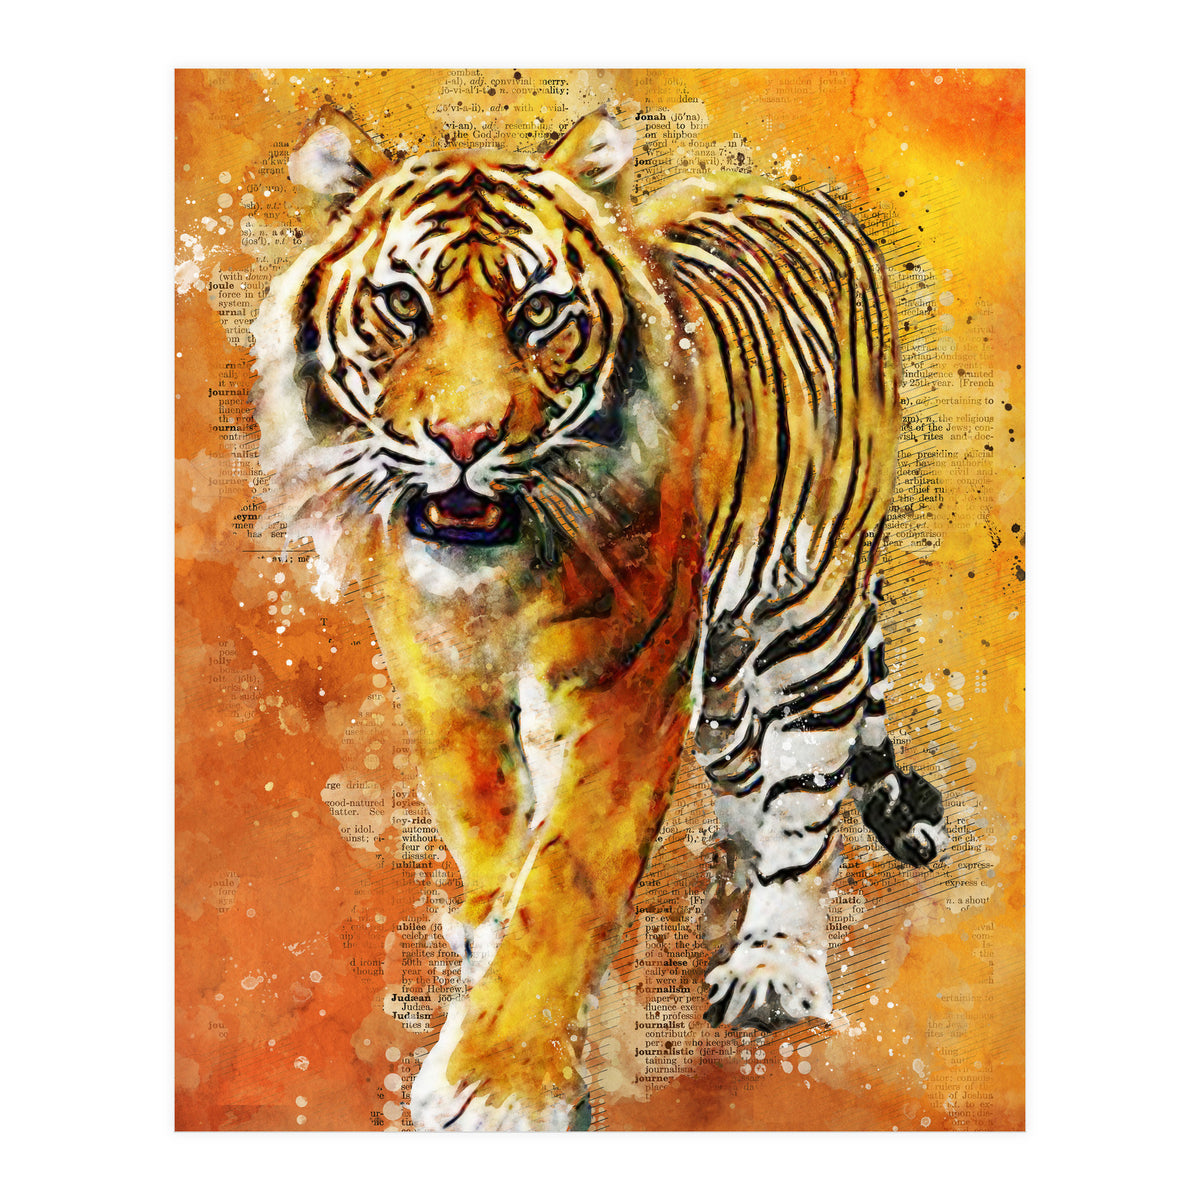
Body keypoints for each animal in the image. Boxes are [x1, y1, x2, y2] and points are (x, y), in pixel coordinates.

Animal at [249, 105, 948, 1132]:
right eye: (404, 305)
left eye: (539, 312)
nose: (464, 439)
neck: (493, 578)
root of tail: (800, 190)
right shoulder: (437, 667)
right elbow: (486, 817)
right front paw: (486, 932)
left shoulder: (626, 686)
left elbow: (569, 878)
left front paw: (500, 1083)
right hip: (725, 659)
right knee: (746, 764)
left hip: (811, 612)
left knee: (807, 793)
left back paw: (772, 961)